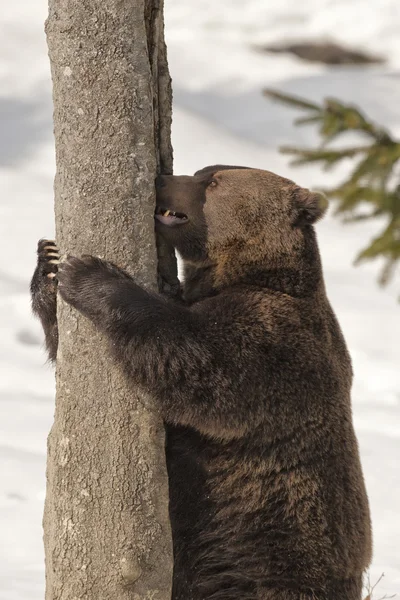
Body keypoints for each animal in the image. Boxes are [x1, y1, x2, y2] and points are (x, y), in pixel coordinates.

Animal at [31, 165, 372, 600]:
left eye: (213, 182)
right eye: (202, 171)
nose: (162, 179)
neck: (251, 273)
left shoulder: (273, 342)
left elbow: (195, 361)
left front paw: (91, 274)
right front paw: (49, 260)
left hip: (271, 556)